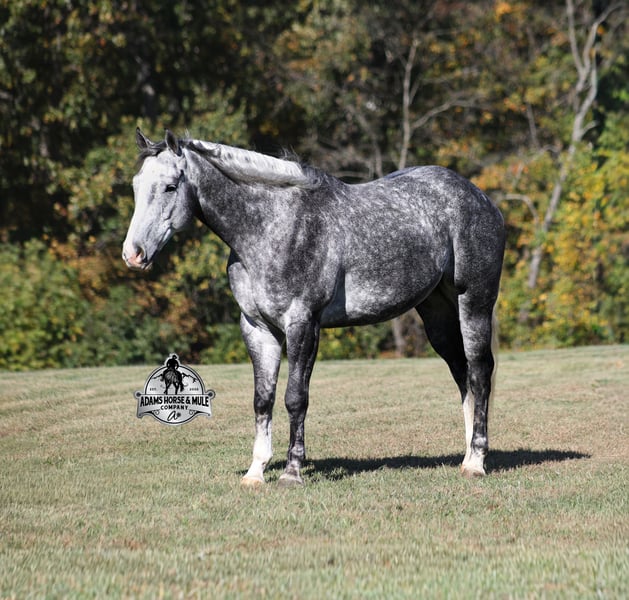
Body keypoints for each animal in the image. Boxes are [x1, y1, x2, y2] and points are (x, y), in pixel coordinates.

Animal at [123, 128, 505, 486]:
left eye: (171, 186)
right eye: (136, 185)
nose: (133, 254)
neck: (271, 228)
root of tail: (482, 199)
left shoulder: (303, 324)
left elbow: (295, 397)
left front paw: (292, 472)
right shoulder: (258, 328)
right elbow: (263, 399)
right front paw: (255, 471)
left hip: (474, 302)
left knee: (479, 370)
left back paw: (477, 461)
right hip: (437, 312)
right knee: (461, 373)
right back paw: (467, 455)